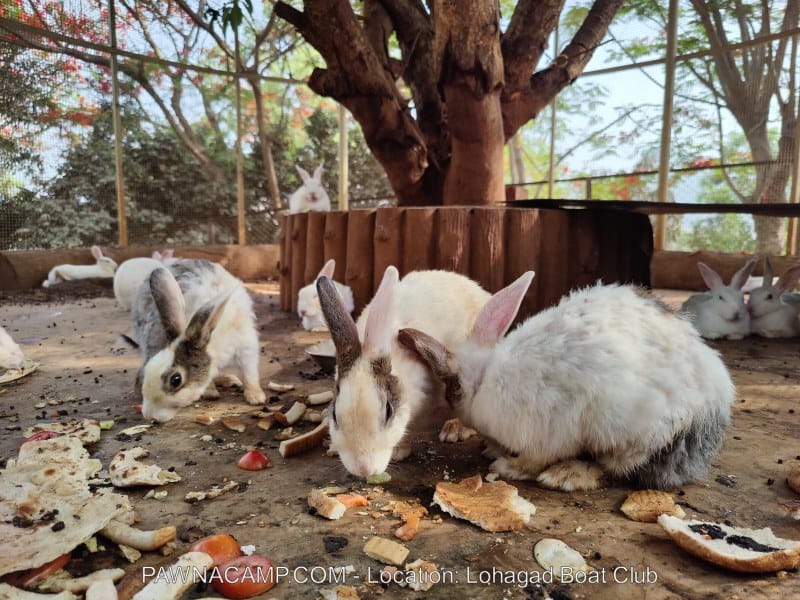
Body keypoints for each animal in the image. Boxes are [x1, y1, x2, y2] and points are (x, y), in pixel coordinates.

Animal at [131, 259, 266, 422]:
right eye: (149, 369)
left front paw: (256, 397)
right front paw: (211, 392)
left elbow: (249, 373)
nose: (148, 415)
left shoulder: (246, 345)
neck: (211, 337)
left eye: (175, 380)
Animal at [398, 274, 735, 492]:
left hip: (635, 437)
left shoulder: (546, 434)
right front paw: (492, 451)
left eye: (451, 384)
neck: (487, 377)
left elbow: (534, 460)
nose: (450, 402)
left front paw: (505, 467)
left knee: (613, 469)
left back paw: (565, 476)